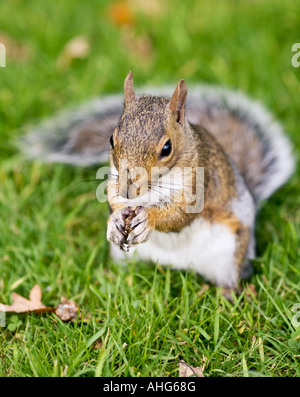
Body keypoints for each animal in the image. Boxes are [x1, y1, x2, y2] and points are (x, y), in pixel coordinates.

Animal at [21, 71, 296, 290]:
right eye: (111, 139)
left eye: (167, 148)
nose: (129, 191)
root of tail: (176, 265)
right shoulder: (113, 179)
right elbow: (113, 200)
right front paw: (115, 219)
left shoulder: (199, 185)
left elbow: (179, 216)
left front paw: (149, 218)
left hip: (229, 253)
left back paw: (229, 295)